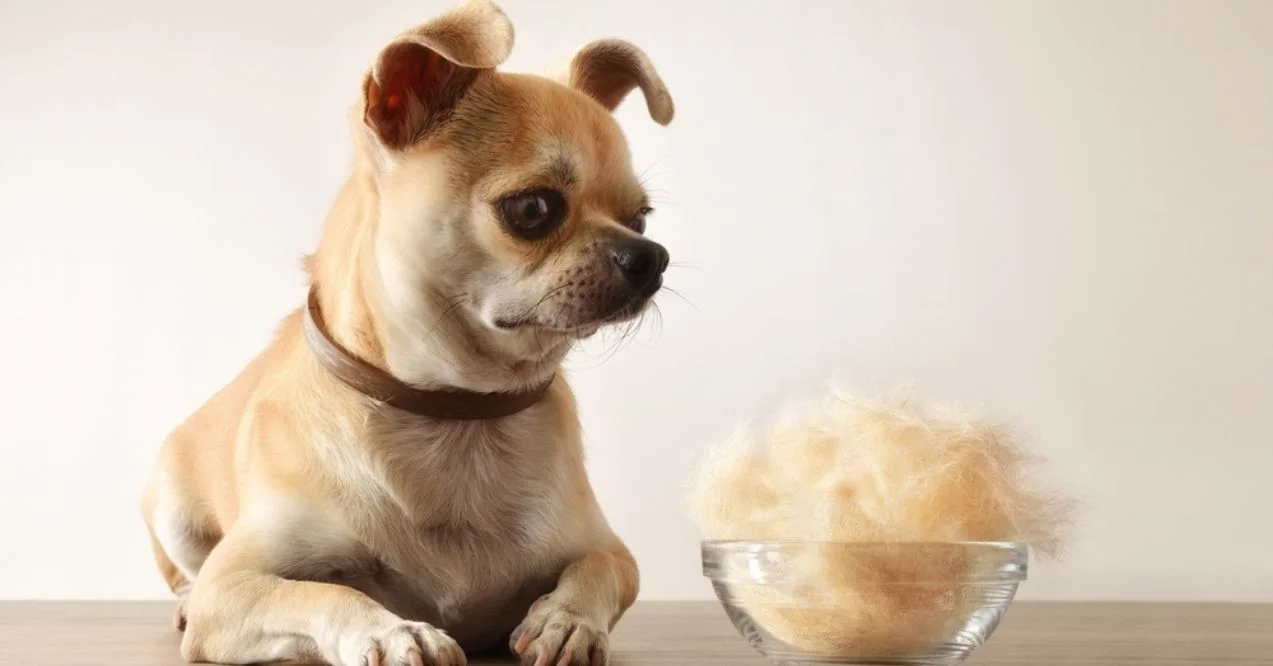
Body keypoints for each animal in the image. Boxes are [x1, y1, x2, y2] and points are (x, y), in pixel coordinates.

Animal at [139, 2, 677, 662]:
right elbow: (326, 593)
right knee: (187, 575)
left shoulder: (610, 550)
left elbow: (599, 570)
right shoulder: (233, 586)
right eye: (533, 210)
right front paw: (392, 630)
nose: (651, 256)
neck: (454, 414)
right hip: (173, 510)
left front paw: (567, 619)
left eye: (641, 218)